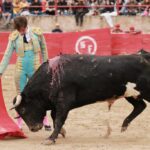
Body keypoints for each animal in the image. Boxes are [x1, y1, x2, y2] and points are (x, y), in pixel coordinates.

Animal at [11, 54, 150, 144]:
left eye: (23, 110)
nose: (33, 128)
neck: (51, 76)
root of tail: (145, 57)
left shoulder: (64, 102)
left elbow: (59, 119)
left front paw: (50, 139)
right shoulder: (57, 104)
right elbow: (54, 117)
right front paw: (62, 133)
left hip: (144, 91)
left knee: (141, 106)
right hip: (131, 94)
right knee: (140, 106)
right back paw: (124, 125)